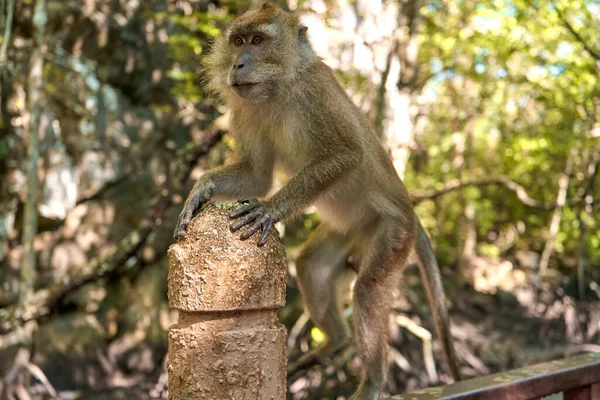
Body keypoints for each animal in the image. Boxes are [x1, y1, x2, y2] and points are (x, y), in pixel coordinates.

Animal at [171, 2, 462, 396]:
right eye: (238, 42)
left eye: (258, 41)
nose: (238, 65)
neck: (279, 88)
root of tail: (411, 214)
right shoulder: (246, 109)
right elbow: (256, 176)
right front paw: (200, 189)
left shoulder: (315, 92)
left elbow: (346, 154)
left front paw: (271, 209)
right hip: (352, 230)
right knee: (312, 266)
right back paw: (337, 341)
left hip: (393, 233)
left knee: (368, 291)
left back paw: (373, 383)